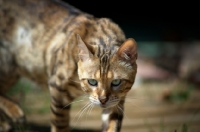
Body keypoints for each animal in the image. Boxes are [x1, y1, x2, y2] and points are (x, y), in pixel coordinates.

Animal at [0, 0, 138, 132]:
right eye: (92, 81)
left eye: (116, 82)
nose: (103, 100)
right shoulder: (57, 88)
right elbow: (60, 123)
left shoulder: (117, 101)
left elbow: (112, 125)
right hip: (8, 65)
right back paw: (14, 113)